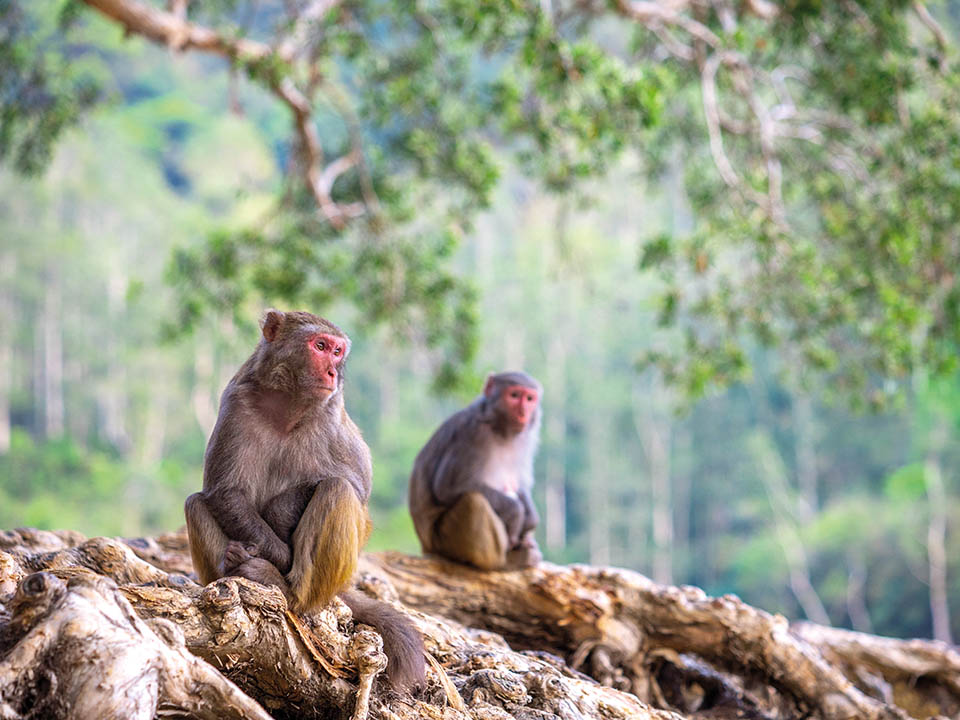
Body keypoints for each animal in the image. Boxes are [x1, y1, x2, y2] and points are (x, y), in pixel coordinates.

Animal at [186, 306, 426, 688]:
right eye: (320, 346)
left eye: (338, 351)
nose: (332, 372)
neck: (288, 403)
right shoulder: (236, 401)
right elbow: (224, 492)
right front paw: (273, 551)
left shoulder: (331, 413)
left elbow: (357, 487)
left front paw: (281, 523)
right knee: (196, 502)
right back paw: (233, 568)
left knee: (337, 491)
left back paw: (285, 589)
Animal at [406, 374, 544, 572]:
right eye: (514, 395)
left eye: (530, 399)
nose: (523, 412)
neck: (500, 429)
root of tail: (426, 547)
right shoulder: (473, 434)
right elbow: (447, 488)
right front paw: (515, 512)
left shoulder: (525, 440)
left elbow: (519, 486)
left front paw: (530, 517)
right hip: (443, 541)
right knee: (474, 502)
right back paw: (503, 562)